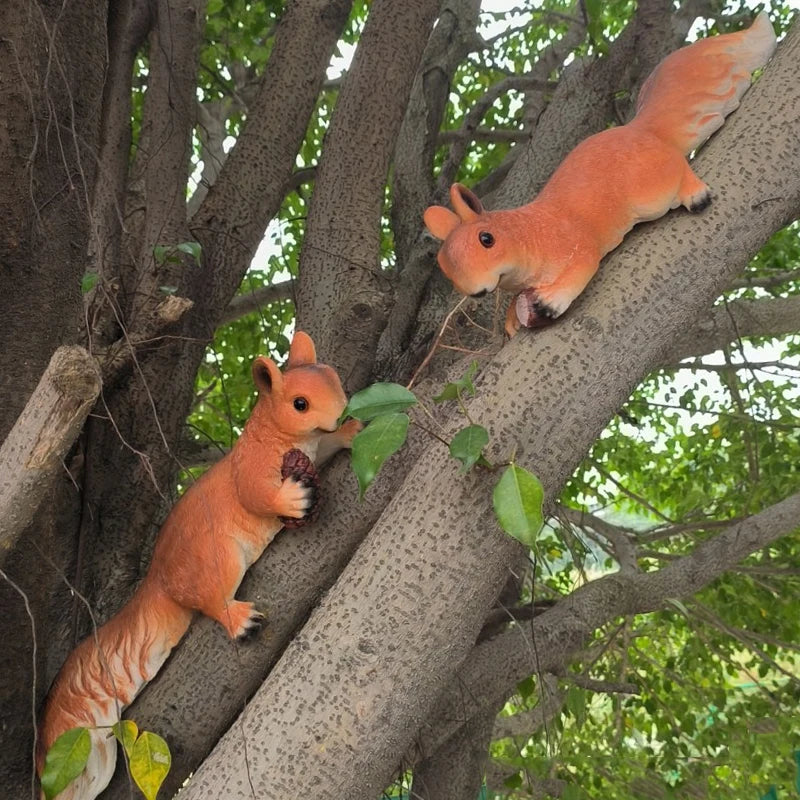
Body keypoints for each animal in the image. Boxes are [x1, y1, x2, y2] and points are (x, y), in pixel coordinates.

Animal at [37, 331, 360, 800]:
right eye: (300, 403)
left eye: (334, 378)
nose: (342, 413)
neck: (275, 434)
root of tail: (161, 583)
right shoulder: (252, 468)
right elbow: (257, 494)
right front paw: (293, 497)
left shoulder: (315, 452)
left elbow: (329, 449)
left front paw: (353, 431)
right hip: (217, 558)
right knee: (211, 601)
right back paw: (238, 619)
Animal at [423, 12, 777, 337]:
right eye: (444, 265)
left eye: (487, 239)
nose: (477, 291)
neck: (532, 234)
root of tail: (645, 130)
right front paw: (512, 321)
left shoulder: (578, 246)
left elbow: (579, 270)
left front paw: (549, 303)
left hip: (653, 189)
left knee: (677, 167)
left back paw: (696, 194)